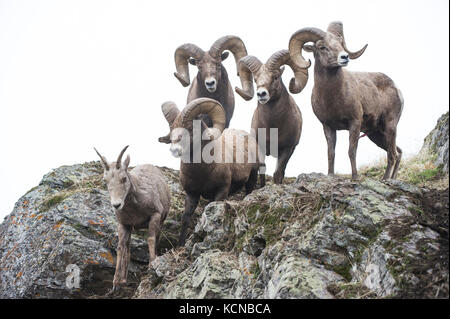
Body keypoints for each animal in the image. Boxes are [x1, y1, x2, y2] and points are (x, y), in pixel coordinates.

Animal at [93, 146, 171, 294]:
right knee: (128, 247)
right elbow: (120, 247)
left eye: (124, 178)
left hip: (161, 222)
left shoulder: (155, 216)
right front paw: (116, 284)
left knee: (156, 239)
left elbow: (150, 239)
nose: (116, 205)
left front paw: (151, 266)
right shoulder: (124, 224)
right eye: (105, 180)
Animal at [160, 97, 262, 248]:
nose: (174, 150)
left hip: (253, 175)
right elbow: (186, 218)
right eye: (171, 130)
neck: (202, 172)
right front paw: (181, 245)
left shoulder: (221, 191)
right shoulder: (192, 194)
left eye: (190, 128)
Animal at [234, 49, 308, 185]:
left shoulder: (286, 149)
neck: (272, 127)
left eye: (275, 77)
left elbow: (278, 173)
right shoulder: (260, 147)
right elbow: (262, 169)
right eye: (255, 79)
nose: (261, 94)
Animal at [288, 21, 404, 182]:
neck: (332, 98)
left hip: (389, 127)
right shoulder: (328, 127)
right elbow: (331, 153)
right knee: (398, 152)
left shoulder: (354, 123)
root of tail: (396, 88)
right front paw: (330, 175)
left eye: (340, 44)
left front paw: (354, 178)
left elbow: (351, 151)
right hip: (376, 135)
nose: (344, 57)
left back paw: (386, 179)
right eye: (322, 47)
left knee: (392, 154)